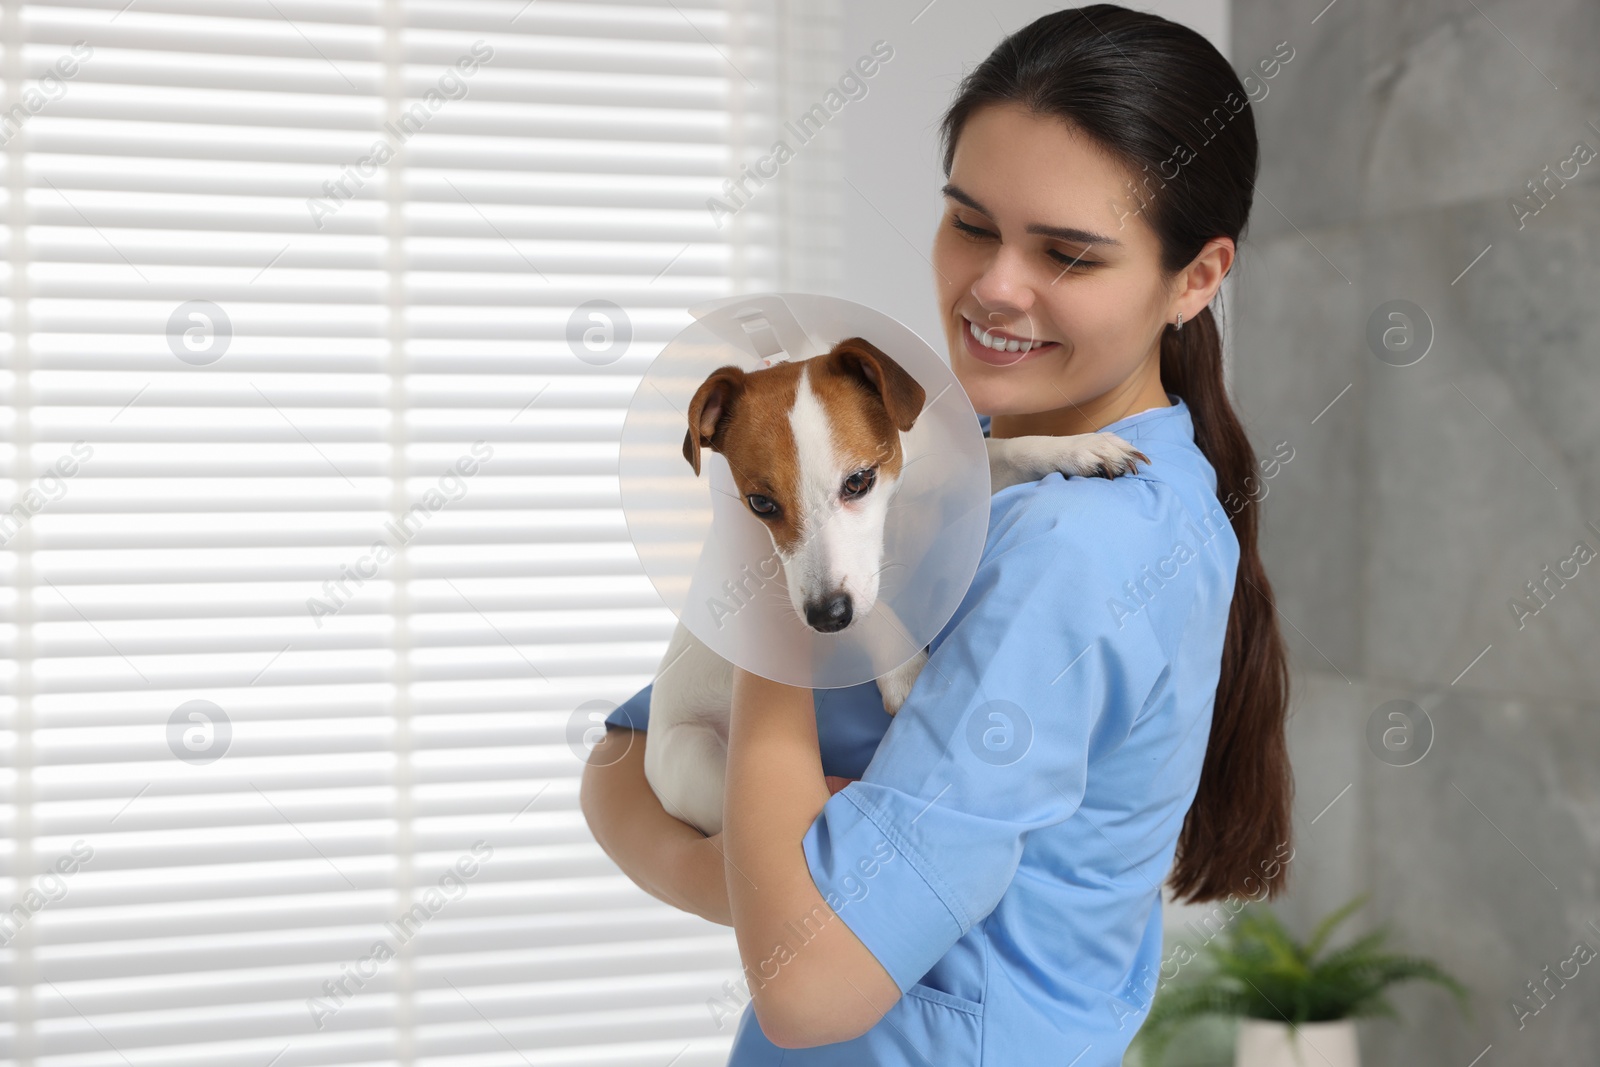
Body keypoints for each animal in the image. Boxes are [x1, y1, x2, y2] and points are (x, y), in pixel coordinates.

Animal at [640, 334, 1152, 831]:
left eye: (858, 480)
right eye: (761, 503)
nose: (826, 618)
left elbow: (1009, 447)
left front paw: (1080, 447)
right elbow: (875, 609)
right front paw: (906, 672)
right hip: (696, 763)